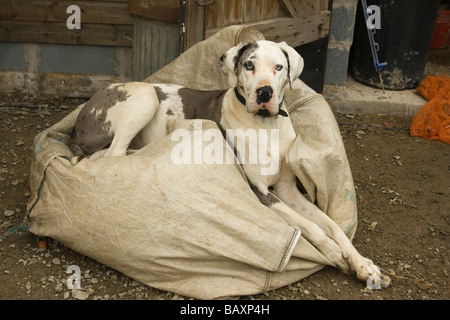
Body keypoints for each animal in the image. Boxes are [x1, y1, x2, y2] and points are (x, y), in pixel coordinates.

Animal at [68, 39, 388, 288]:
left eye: (279, 67)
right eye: (249, 65)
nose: (264, 92)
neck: (266, 126)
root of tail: (78, 120)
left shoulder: (288, 190)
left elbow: (332, 225)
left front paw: (362, 263)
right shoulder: (261, 192)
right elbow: (315, 229)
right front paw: (334, 255)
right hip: (145, 95)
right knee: (114, 154)